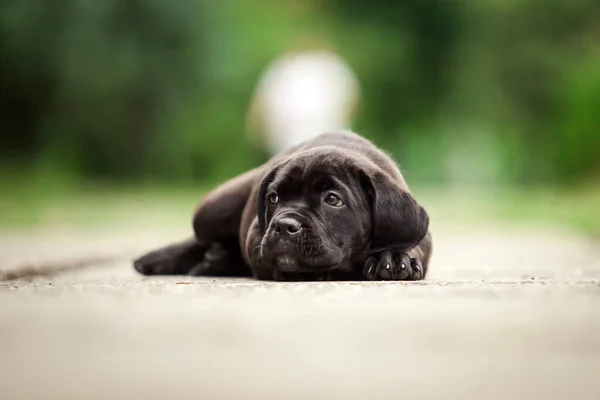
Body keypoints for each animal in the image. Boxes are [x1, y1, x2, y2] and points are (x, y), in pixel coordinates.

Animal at [134, 131, 432, 282]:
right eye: (273, 198)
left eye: (333, 199)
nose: (283, 226)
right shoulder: (257, 234)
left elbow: (407, 244)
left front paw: (394, 258)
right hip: (209, 212)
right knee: (198, 240)